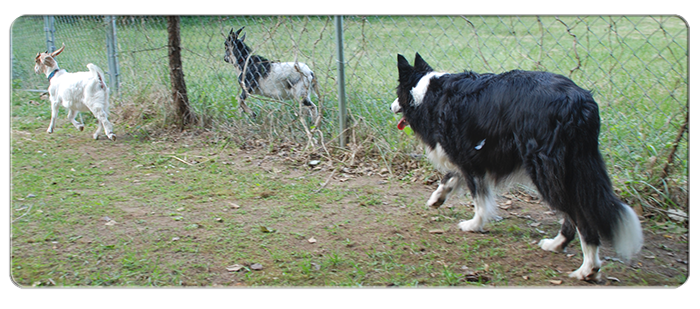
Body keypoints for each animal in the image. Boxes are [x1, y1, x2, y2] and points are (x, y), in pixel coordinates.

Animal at [392, 53, 644, 282]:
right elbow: (451, 177)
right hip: (572, 167)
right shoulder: (470, 156)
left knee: (582, 217)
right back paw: (556, 244)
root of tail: (579, 102)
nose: (391, 106)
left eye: (397, 94)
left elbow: (478, 197)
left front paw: (474, 224)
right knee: (573, 213)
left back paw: (588, 268)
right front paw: (436, 198)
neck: (424, 92)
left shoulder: (469, 155)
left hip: (545, 169)